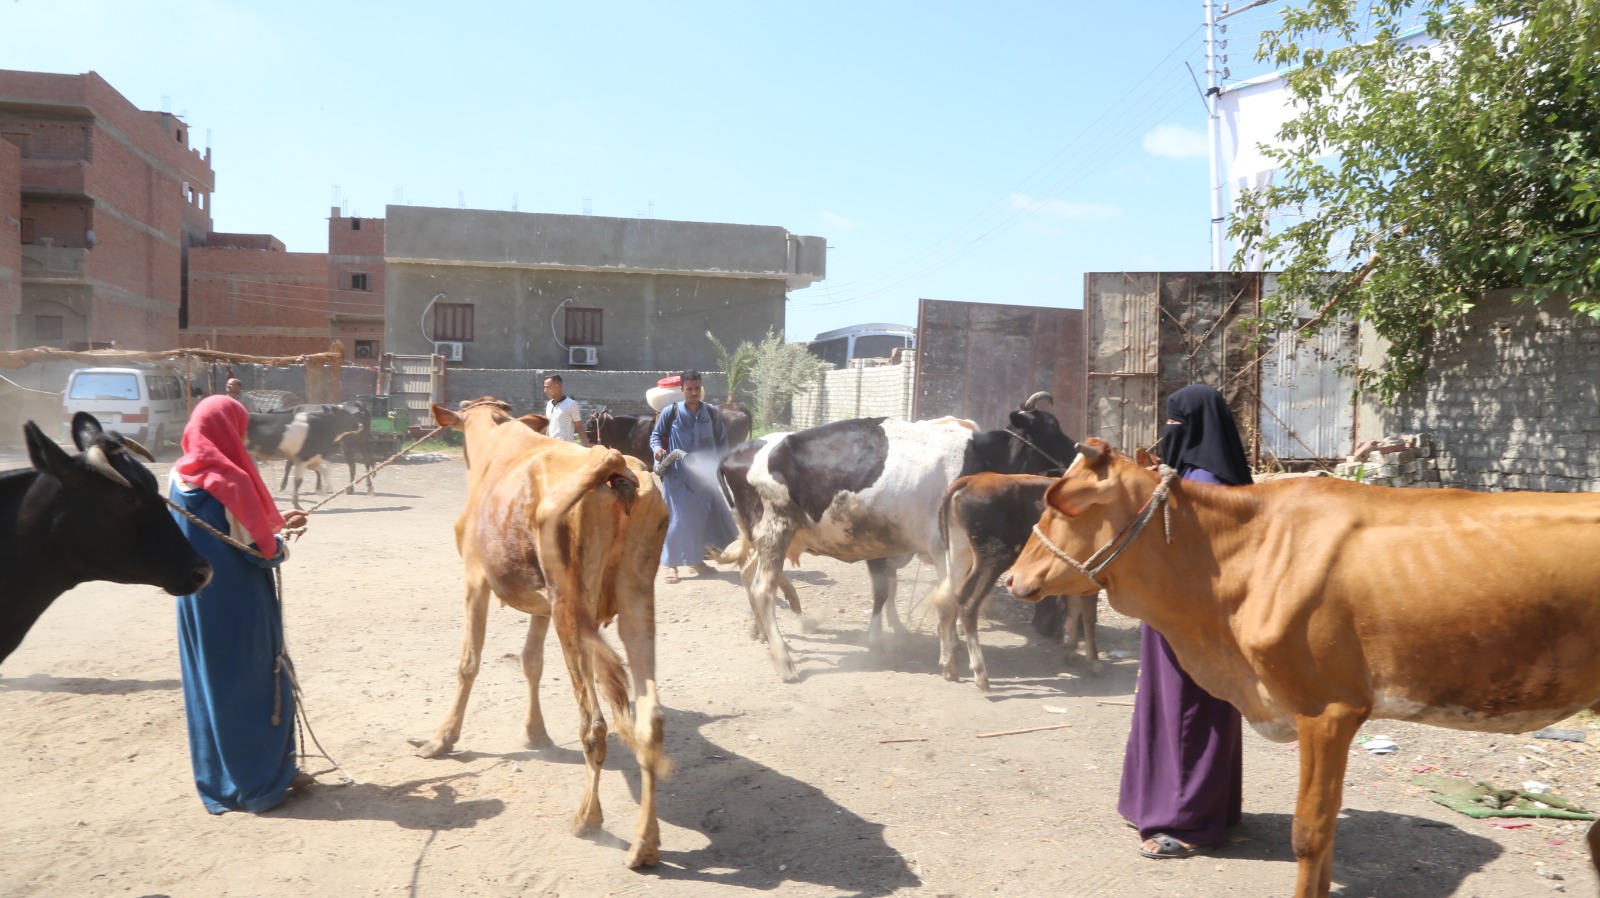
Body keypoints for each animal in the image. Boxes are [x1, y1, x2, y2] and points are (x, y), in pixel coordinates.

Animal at [414, 397, 670, 868]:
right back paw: (645, 842)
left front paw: (442, 738)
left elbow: (468, 663)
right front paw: (536, 732)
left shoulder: (475, 578)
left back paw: (588, 818)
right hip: (635, 598)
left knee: (595, 724)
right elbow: (531, 661)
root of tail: (622, 478)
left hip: (571, 599)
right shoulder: (539, 604)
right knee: (650, 718)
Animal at [721, 392, 1075, 681]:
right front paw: (949, 659)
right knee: (763, 588)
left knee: (748, 574)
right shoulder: (946, 548)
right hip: (775, 529)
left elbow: (907, 593)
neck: (978, 456)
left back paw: (761, 632)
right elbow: (945, 599)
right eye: (1053, 425)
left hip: (764, 537)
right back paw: (784, 661)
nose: (1076, 455)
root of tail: (734, 455)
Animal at [933, 472, 1096, 692]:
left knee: (946, 599)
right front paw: (1094, 662)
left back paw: (949, 665)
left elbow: (1075, 606)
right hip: (994, 556)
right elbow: (1088, 614)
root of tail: (971, 480)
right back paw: (980, 673)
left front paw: (1071, 651)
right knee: (967, 602)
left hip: (960, 552)